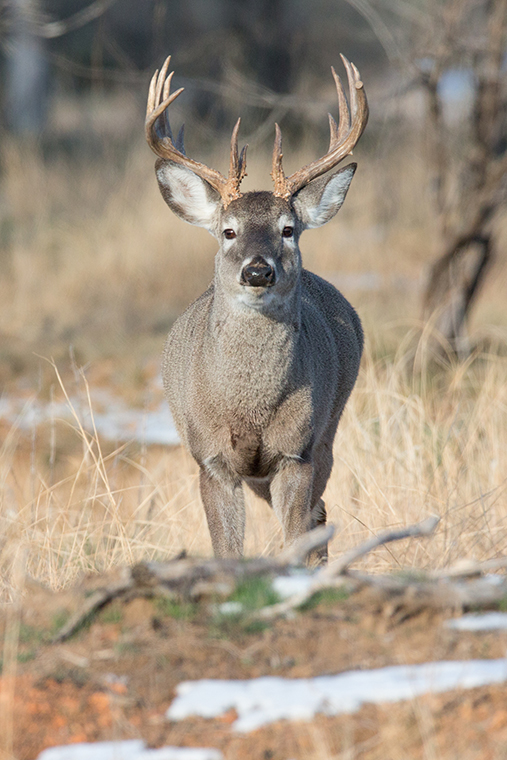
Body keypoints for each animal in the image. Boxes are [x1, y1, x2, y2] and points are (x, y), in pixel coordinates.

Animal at [147, 55, 370, 564]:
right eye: (228, 231)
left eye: (288, 229)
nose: (257, 271)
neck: (248, 408)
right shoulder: (210, 458)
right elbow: (226, 550)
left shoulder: (296, 451)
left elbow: (294, 539)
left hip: (328, 431)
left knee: (318, 516)